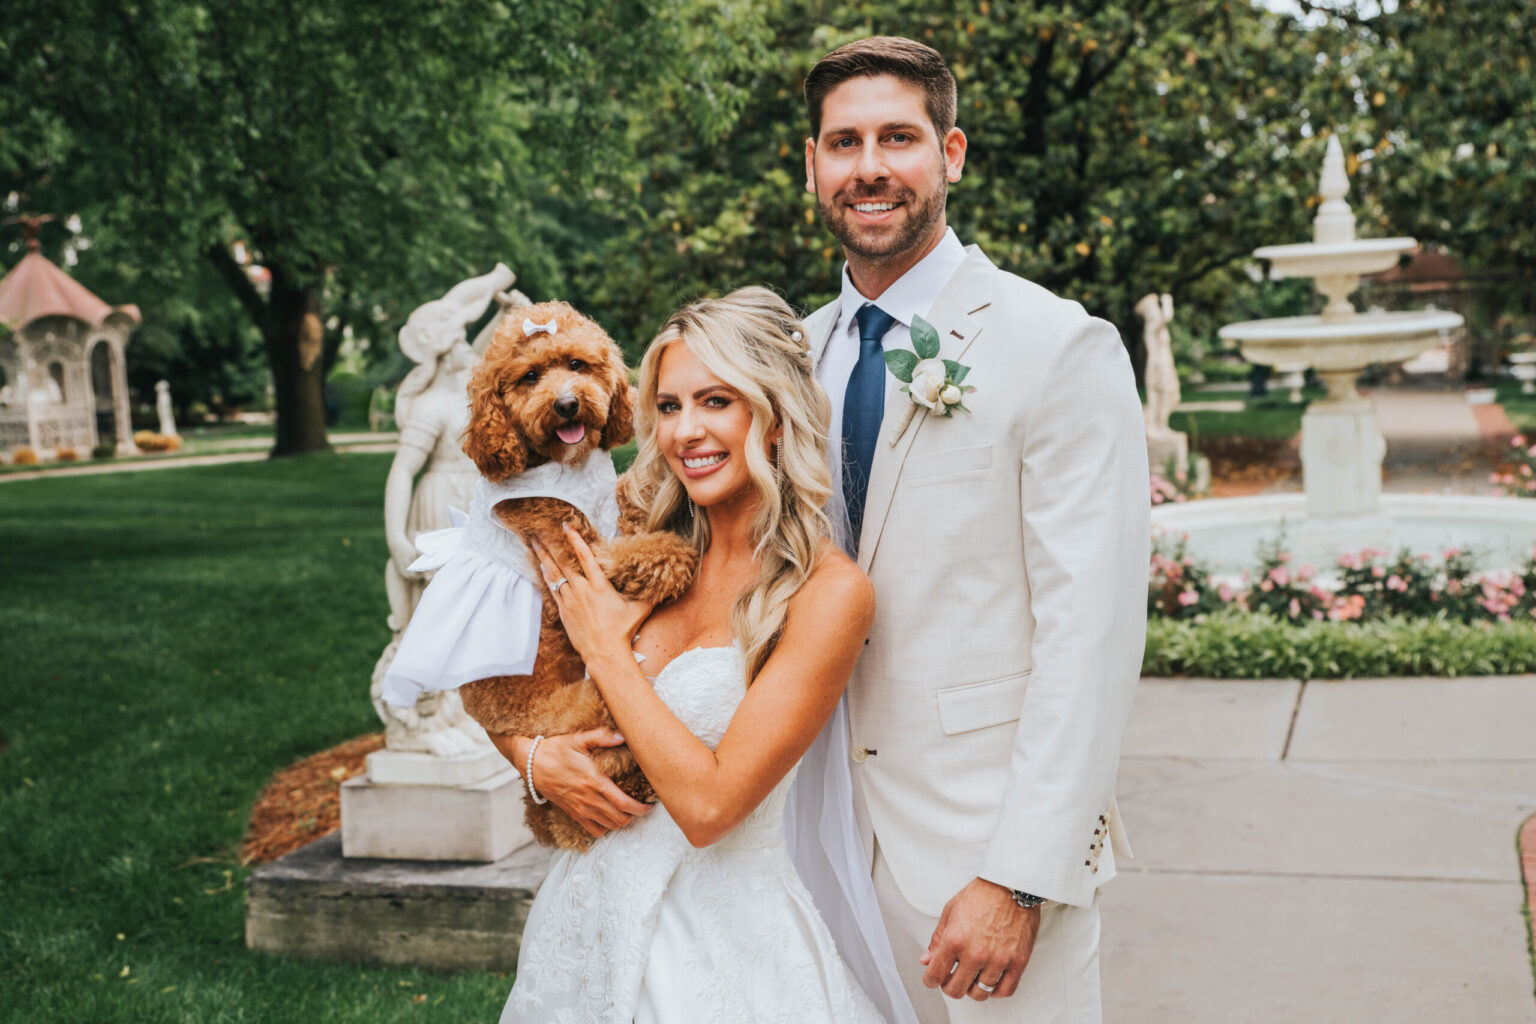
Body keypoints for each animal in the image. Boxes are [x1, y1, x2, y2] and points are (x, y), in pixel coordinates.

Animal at [454, 300, 697, 853]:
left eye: (577, 365)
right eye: (529, 376)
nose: (566, 404)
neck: (565, 466)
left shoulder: (608, 502)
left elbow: (628, 502)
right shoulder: (570, 541)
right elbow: (634, 554)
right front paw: (673, 554)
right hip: (591, 712)